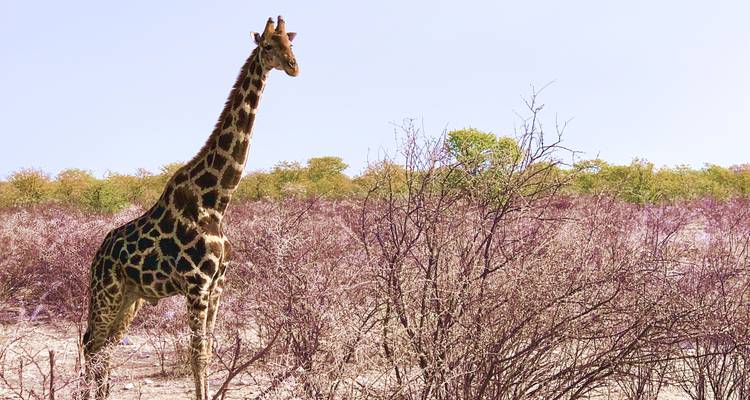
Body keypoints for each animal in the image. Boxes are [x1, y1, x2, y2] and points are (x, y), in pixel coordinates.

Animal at [81, 16, 298, 400]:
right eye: (268, 46)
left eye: (291, 42)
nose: (293, 66)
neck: (216, 201)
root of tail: (97, 255)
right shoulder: (196, 283)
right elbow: (197, 355)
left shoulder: (218, 284)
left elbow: (208, 352)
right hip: (107, 291)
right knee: (91, 344)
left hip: (130, 298)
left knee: (102, 347)